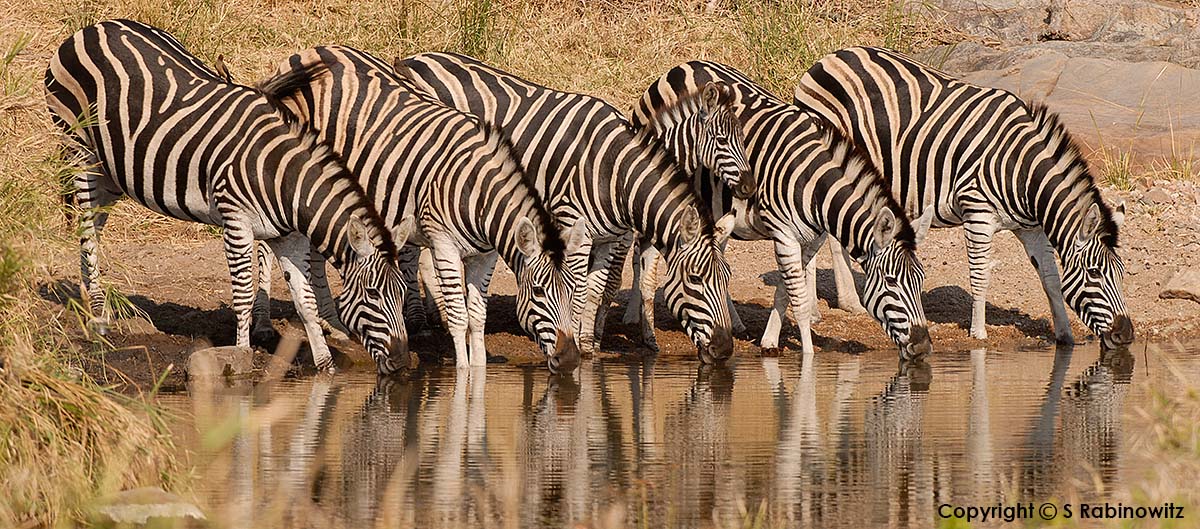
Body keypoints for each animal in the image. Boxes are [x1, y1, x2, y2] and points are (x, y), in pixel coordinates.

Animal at [45, 19, 411, 372]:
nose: (402, 361)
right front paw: (242, 354)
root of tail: (90, 29)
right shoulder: (236, 221)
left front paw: (326, 366)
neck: (283, 178)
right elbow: (244, 293)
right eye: (373, 293)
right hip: (80, 151)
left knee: (91, 229)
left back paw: (88, 300)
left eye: (404, 293)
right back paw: (97, 317)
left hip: (111, 173)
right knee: (87, 230)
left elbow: (304, 299)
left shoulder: (289, 237)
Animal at [254, 46, 584, 370]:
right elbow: (459, 317)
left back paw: (333, 325)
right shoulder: (444, 244)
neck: (477, 192)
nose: (570, 359)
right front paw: (462, 374)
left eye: (571, 290)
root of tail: (310, 51)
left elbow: (478, 317)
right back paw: (271, 324)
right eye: (539, 291)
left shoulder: (485, 255)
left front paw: (480, 372)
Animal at [398, 52, 741, 363]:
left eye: (727, 279)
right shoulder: (574, 225)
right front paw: (576, 339)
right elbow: (577, 288)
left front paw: (589, 344)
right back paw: (423, 321)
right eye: (695, 279)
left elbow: (595, 288)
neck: (616, 173)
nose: (725, 350)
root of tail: (414, 57)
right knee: (411, 255)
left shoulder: (608, 238)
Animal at [629, 61, 934, 359]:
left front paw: (769, 341)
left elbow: (784, 293)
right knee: (642, 256)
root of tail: (675, 69)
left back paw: (732, 322)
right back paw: (637, 321)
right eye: (891, 282)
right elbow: (798, 299)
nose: (922, 347)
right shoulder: (784, 233)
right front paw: (808, 360)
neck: (815, 182)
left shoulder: (812, 237)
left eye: (921, 281)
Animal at [795, 46, 1134, 349]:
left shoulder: (1031, 227)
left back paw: (844, 303)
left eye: (1121, 273)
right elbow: (980, 274)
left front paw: (1065, 335)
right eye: (1095, 274)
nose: (1126, 335)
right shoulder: (977, 212)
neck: (1022, 170)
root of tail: (831, 57)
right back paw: (816, 311)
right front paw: (978, 333)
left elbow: (1050, 279)